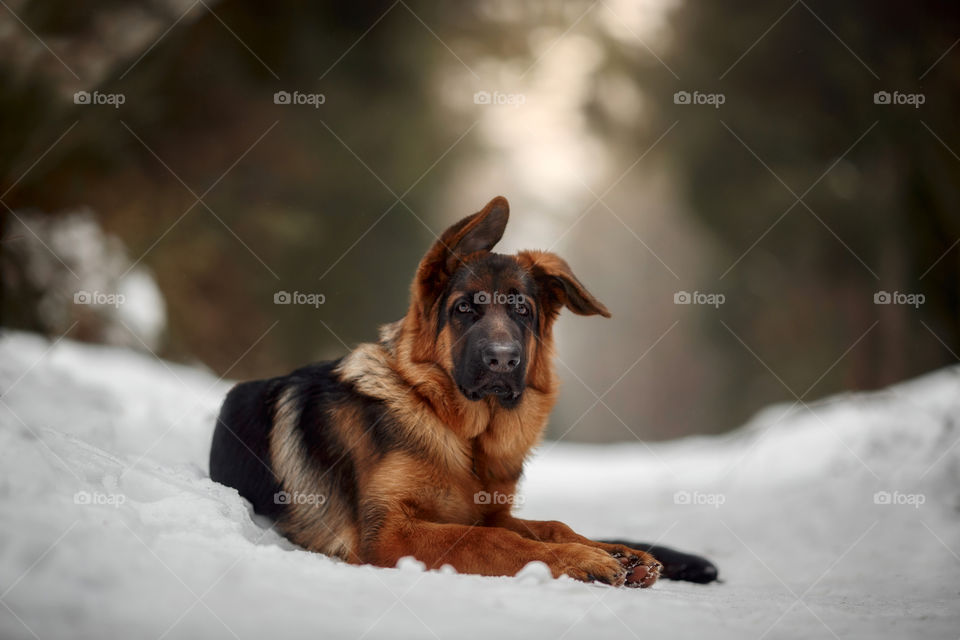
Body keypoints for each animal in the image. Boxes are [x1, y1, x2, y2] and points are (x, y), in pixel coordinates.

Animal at [212, 198, 720, 588]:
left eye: (521, 310)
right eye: (463, 310)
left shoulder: (487, 512)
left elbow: (551, 526)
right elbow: (496, 540)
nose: (503, 360)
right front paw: (583, 559)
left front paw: (615, 551)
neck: (458, 432)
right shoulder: (389, 533)